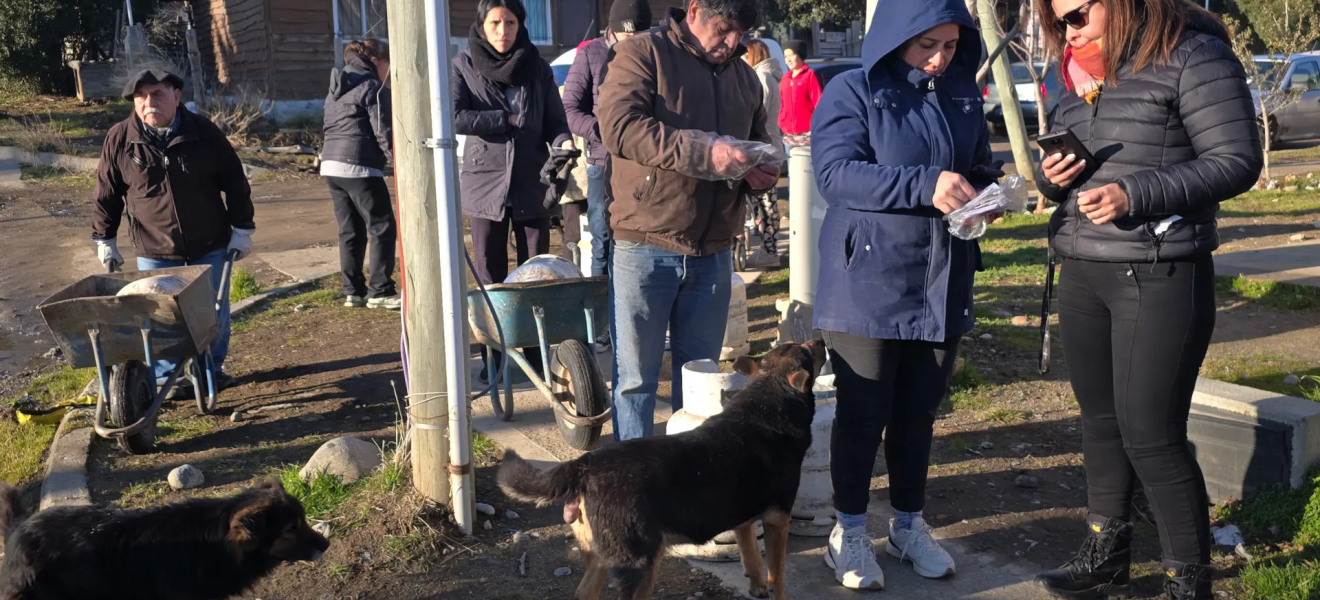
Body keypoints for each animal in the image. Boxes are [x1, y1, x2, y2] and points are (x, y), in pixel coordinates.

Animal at [501, 340, 823, 600]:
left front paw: (756, 588)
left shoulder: (743, 519)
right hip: (639, 564)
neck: (769, 396)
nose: (821, 340)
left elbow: (752, 559)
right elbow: (777, 577)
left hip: (601, 557)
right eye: (808, 351)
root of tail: (586, 464)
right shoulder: (777, 519)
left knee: (585, 592)